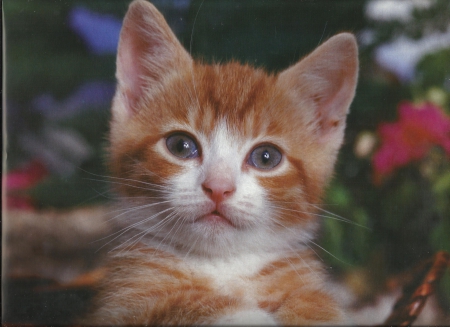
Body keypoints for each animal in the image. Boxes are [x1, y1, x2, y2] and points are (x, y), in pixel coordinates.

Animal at [84, 0, 358, 326]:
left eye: (266, 157)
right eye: (180, 146)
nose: (218, 187)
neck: (225, 265)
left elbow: (317, 304)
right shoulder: (117, 307)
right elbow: (183, 304)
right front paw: (246, 314)